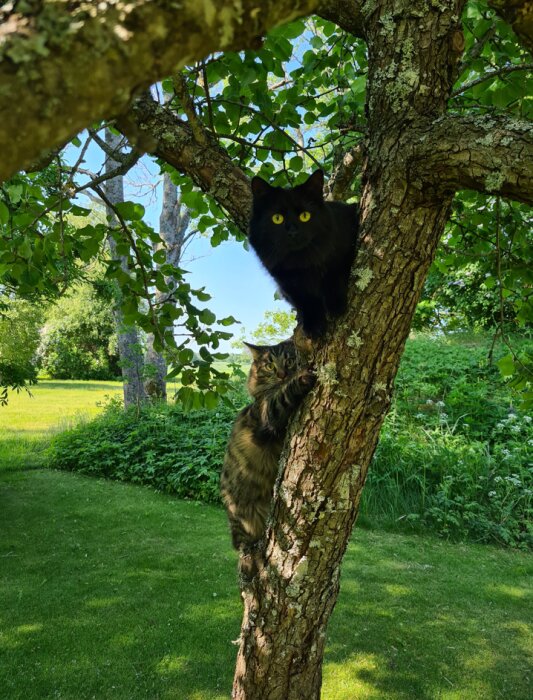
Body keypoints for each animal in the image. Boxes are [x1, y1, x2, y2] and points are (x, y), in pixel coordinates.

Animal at [218, 340, 314, 556]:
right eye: (269, 366)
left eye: (290, 360)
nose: (282, 375)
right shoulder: (266, 414)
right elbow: (283, 395)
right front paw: (301, 378)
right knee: (242, 544)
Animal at [248, 167, 358, 336]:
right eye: (277, 218)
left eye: (304, 216)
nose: (293, 231)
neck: (301, 262)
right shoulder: (287, 284)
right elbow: (306, 301)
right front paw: (314, 326)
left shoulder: (344, 250)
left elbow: (334, 274)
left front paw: (335, 305)